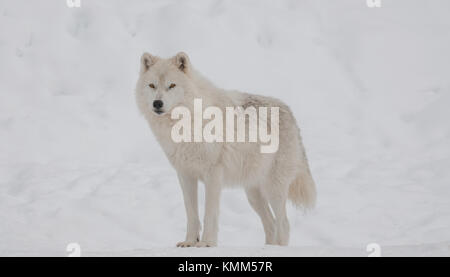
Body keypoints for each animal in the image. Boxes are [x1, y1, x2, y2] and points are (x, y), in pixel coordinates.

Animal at [135, 51, 314, 246]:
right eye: (152, 85)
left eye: (172, 85)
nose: (157, 103)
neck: (186, 123)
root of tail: (289, 112)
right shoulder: (185, 174)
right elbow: (191, 214)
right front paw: (190, 242)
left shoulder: (213, 174)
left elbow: (209, 214)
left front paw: (206, 243)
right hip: (253, 194)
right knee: (271, 224)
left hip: (273, 189)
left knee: (283, 224)